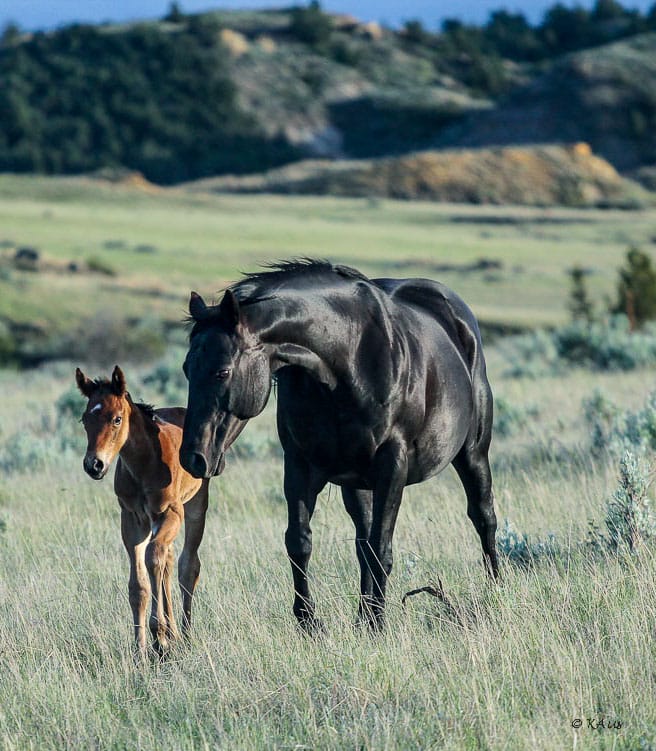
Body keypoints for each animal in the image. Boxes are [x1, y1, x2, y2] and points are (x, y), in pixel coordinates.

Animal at [76, 365, 244, 655]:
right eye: (85, 419)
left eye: (117, 419)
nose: (94, 465)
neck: (144, 464)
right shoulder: (132, 521)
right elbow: (139, 586)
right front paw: (141, 649)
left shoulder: (170, 513)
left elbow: (155, 560)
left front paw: (160, 637)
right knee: (168, 560)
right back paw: (172, 633)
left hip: (195, 505)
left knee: (186, 565)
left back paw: (184, 634)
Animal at [179, 259, 498, 630]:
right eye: (187, 369)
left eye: (223, 372)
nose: (193, 458)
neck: (347, 359)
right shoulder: (300, 465)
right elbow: (300, 542)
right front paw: (309, 621)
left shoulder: (392, 466)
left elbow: (382, 548)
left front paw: (378, 622)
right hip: (356, 484)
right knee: (362, 543)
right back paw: (362, 615)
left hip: (472, 454)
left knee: (483, 516)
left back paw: (495, 590)